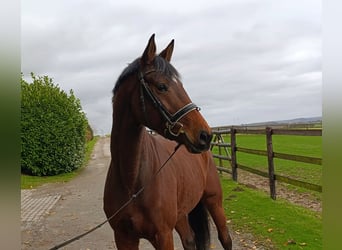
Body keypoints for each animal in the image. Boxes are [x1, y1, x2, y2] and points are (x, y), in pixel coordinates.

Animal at [104, 33, 232, 250]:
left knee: (225, 239)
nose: (205, 135)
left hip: (214, 201)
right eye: (162, 86)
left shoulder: (163, 235)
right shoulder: (123, 237)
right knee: (190, 240)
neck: (132, 181)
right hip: (181, 215)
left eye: (181, 86)